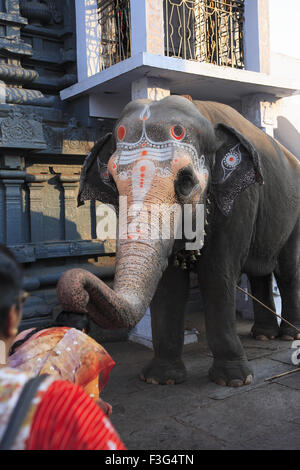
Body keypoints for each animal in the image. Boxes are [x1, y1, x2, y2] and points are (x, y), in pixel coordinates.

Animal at [56, 95, 300, 390]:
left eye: (185, 181)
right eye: (112, 182)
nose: (74, 312)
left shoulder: (239, 201)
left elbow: (217, 275)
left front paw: (234, 380)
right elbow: (168, 283)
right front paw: (160, 379)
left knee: (287, 271)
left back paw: (288, 336)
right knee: (259, 273)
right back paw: (264, 335)